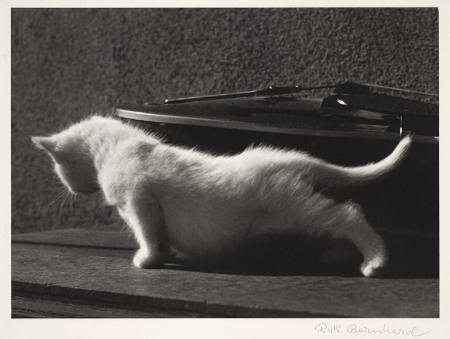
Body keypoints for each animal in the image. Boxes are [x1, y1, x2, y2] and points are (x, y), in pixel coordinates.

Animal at [31, 115, 412, 278]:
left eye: (58, 170)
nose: (71, 189)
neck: (118, 146)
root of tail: (286, 158)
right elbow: (161, 238)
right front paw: (166, 254)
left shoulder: (140, 202)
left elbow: (148, 235)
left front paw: (148, 259)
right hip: (303, 208)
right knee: (341, 219)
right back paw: (336, 256)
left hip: (296, 208)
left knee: (349, 214)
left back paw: (375, 261)